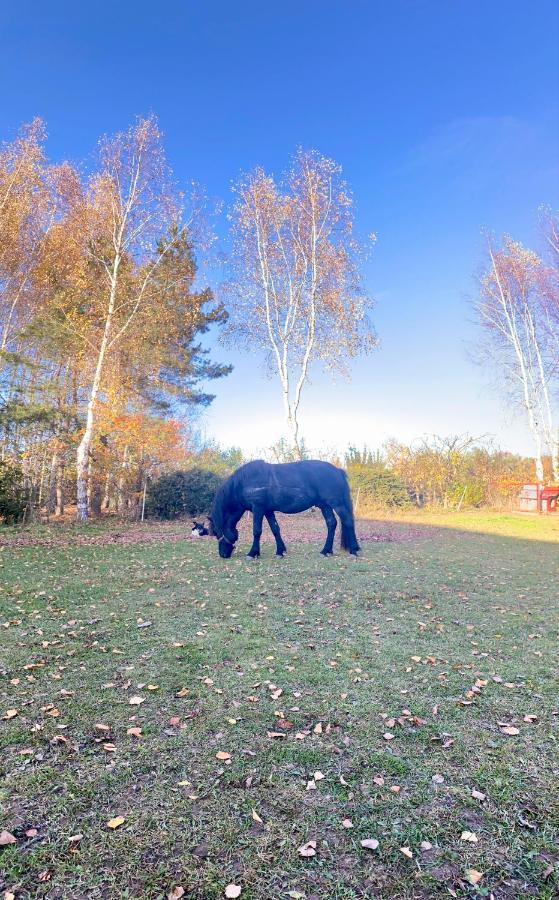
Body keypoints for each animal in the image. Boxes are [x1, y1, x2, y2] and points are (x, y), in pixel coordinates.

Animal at [208, 460, 360, 560]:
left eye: (216, 532)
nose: (223, 554)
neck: (243, 483)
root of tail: (338, 471)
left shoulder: (258, 509)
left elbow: (257, 531)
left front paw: (252, 553)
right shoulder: (268, 511)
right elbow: (275, 529)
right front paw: (280, 551)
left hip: (337, 503)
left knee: (347, 522)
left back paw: (353, 551)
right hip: (324, 505)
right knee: (331, 523)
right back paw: (326, 551)